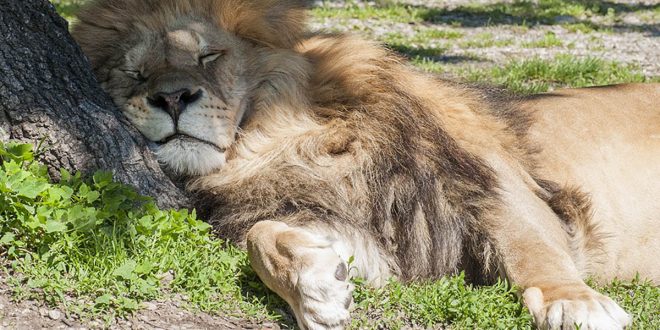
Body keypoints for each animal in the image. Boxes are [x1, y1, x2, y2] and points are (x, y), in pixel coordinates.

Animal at [69, 0, 656, 330]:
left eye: (209, 56)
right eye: (135, 74)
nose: (171, 98)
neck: (275, 141)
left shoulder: (494, 185)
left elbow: (532, 249)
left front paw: (576, 305)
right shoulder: (351, 223)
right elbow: (262, 235)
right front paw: (317, 289)